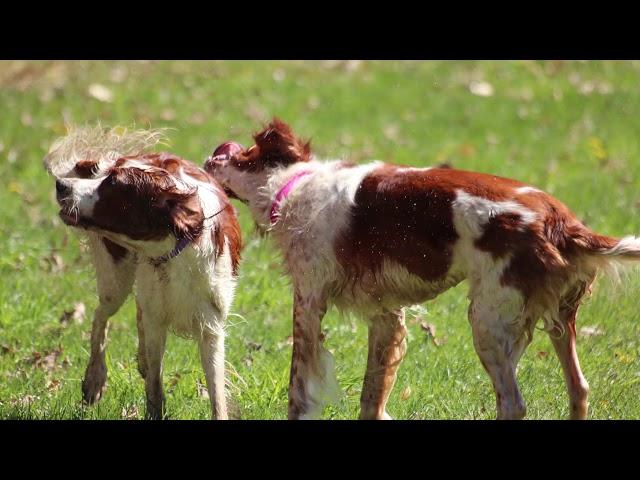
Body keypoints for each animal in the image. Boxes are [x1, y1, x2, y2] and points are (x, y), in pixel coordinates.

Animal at [44, 125, 240, 418]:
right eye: (101, 178)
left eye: (113, 185)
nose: (61, 185)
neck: (174, 253)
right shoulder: (157, 317)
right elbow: (155, 384)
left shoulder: (211, 328)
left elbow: (216, 394)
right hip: (115, 281)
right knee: (101, 316)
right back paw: (95, 378)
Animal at [206, 118, 640, 418]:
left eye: (243, 148)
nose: (210, 152)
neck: (295, 185)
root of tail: (560, 222)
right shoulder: (386, 317)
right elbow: (371, 396)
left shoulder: (309, 302)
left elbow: (299, 389)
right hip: (551, 321)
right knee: (579, 389)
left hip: (487, 321)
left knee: (514, 403)